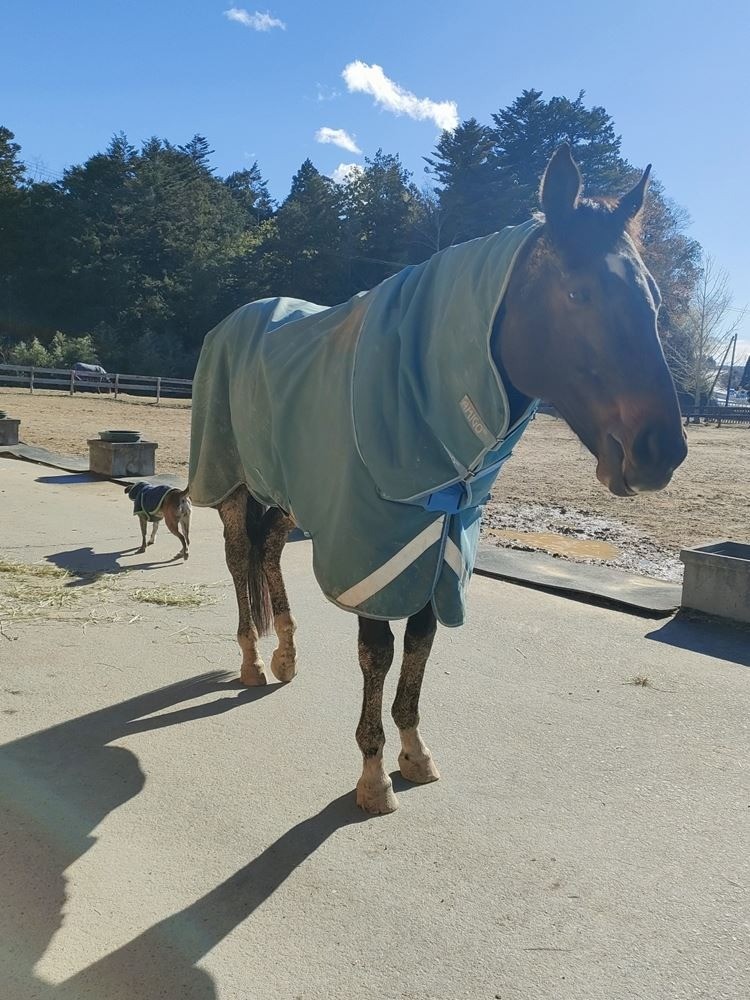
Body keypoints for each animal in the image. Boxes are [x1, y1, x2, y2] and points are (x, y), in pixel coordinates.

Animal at [191, 146, 692, 812]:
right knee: (238, 556)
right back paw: (250, 657)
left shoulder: (442, 539)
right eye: (579, 291)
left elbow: (422, 640)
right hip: (231, 483)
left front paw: (414, 751)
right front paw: (373, 775)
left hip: (288, 489)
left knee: (268, 549)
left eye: (653, 298)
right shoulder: (371, 545)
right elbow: (377, 652)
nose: (660, 452)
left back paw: (286, 655)